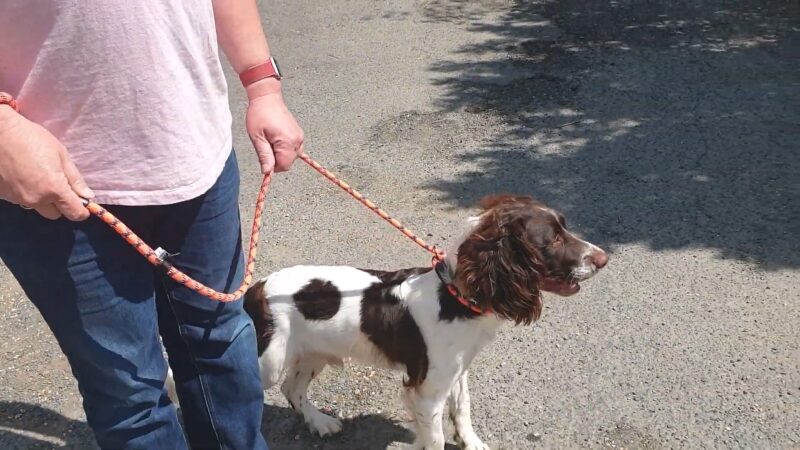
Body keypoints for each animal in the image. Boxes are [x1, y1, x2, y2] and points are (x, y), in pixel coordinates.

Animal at [167, 194, 608, 450]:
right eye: (552, 239)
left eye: (565, 227)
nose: (604, 259)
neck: (456, 296)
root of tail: (256, 288)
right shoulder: (426, 388)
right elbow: (435, 437)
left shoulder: (457, 371)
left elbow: (463, 409)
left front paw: (472, 442)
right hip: (269, 360)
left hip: (311, 352)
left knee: (294, 389)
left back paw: (321, 423)